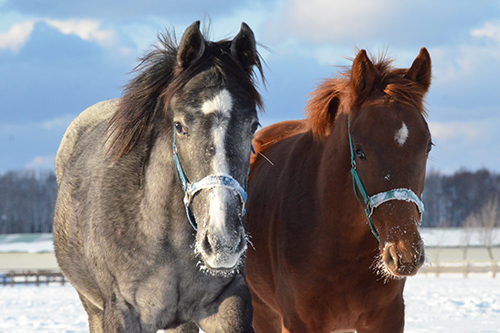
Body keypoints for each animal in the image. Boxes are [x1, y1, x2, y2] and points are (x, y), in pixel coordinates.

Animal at [54, 22, 264, 330]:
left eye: (253, 125)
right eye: (180, 126)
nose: (222, 242)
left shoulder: (229, 301)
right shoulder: (122, 314)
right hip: (93, 309)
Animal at [247, 48, 434, 330]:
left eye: (427, 146)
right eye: (359, 150)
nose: (405, 253)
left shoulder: (387, 319)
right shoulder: (297, 322)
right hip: (262, 312)